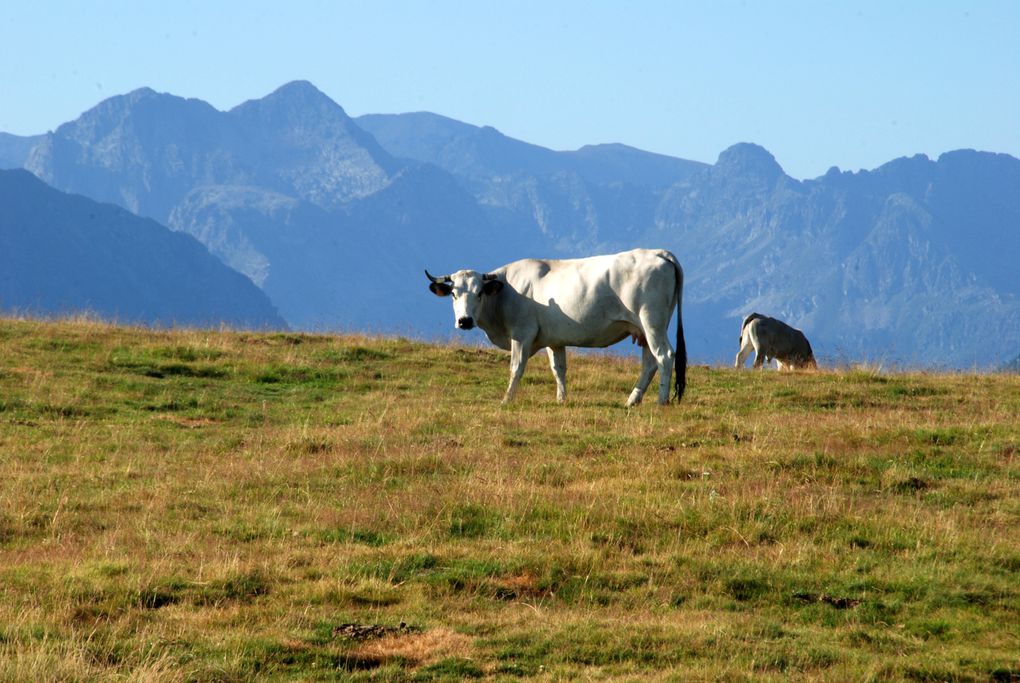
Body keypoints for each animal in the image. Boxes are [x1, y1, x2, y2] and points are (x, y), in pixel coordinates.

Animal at [426, 248, 689, 407]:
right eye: (453, 294)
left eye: (479, 293)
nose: (465, 321)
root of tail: (658, 252)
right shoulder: (554, 340)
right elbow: (559, 369)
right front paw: (561, 400)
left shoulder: (522, 334)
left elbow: (516, 368)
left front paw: (507, 399)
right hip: (644, 329)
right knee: (649, 362)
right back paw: (632, 400)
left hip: (652, 321)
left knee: (664, 356)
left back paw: (661, 400)